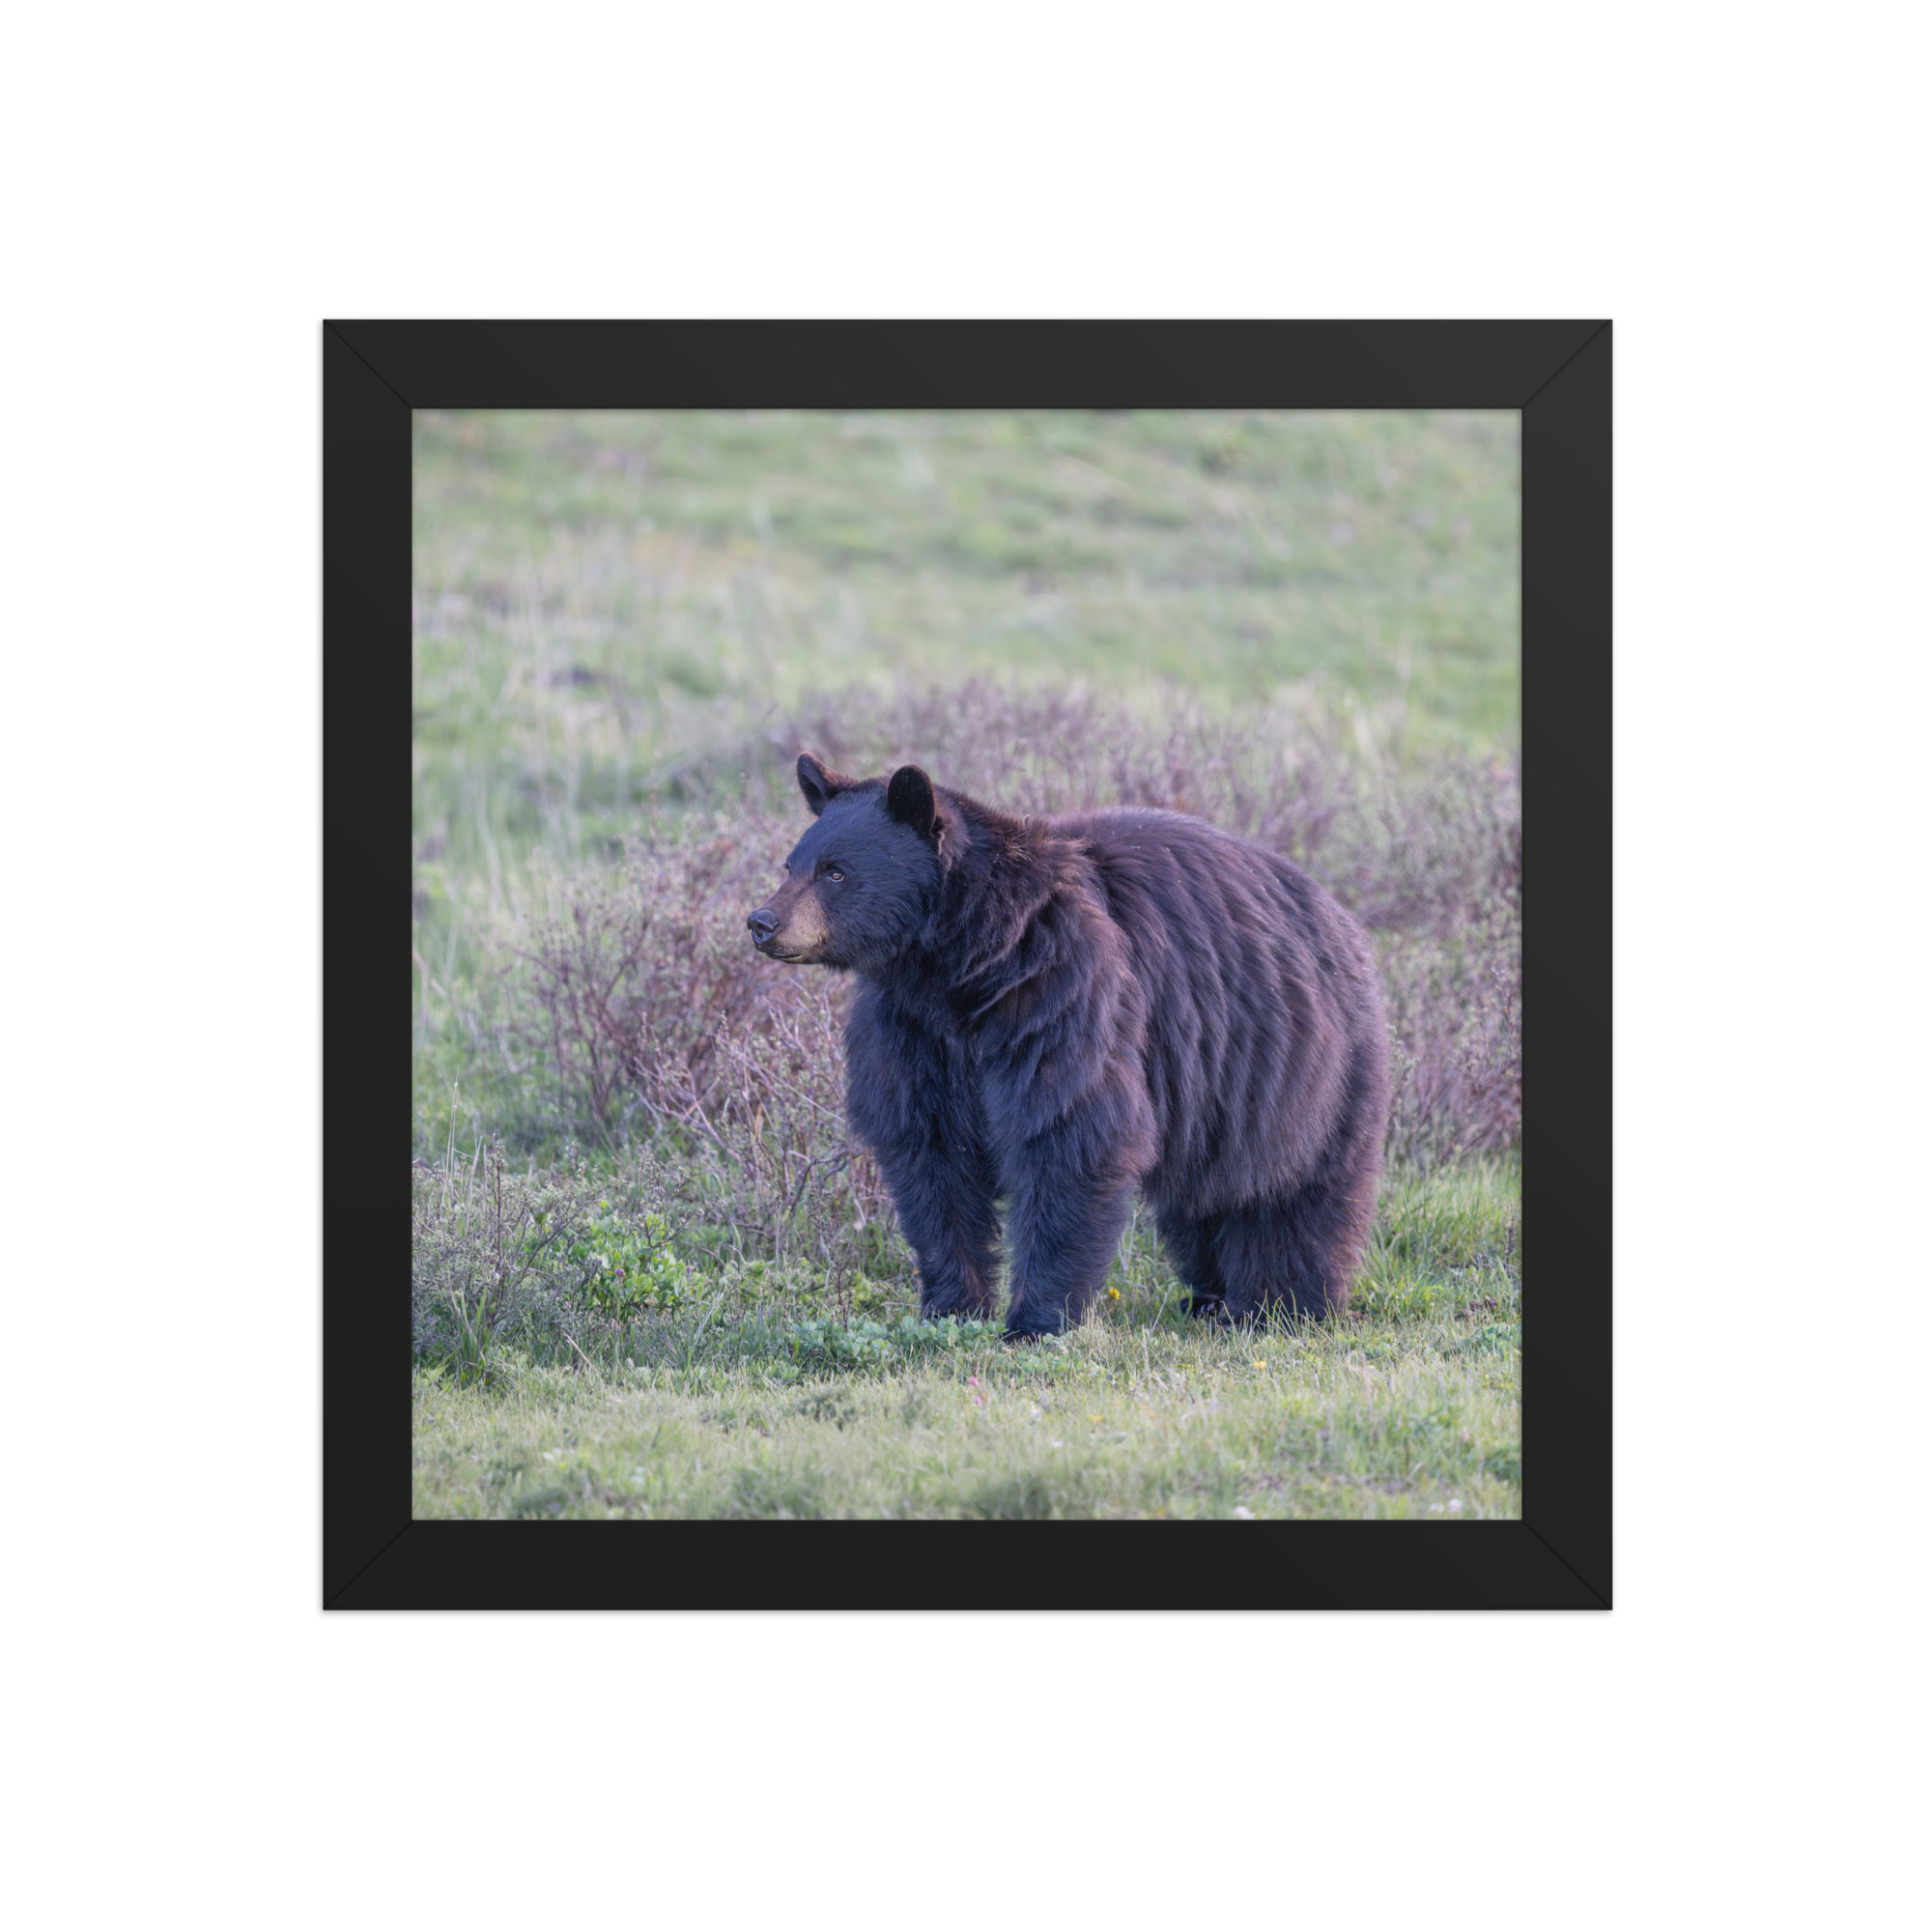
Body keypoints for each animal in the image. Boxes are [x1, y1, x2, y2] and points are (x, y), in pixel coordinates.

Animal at [747, 752, 1390, 1339]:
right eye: (791, 863)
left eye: (835, 872)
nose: (762, 921)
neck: (962, 966)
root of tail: (1341, 917)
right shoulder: (912, 1031)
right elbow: (930, 1155)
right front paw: (951, 1308)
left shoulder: (1061, 992)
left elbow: (1069, 1132)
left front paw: (1035, 1321)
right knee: (1203, 1198)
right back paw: (1209, 1298)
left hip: (1304, 1066)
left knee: (1296, 1191)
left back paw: (1281, 1305)